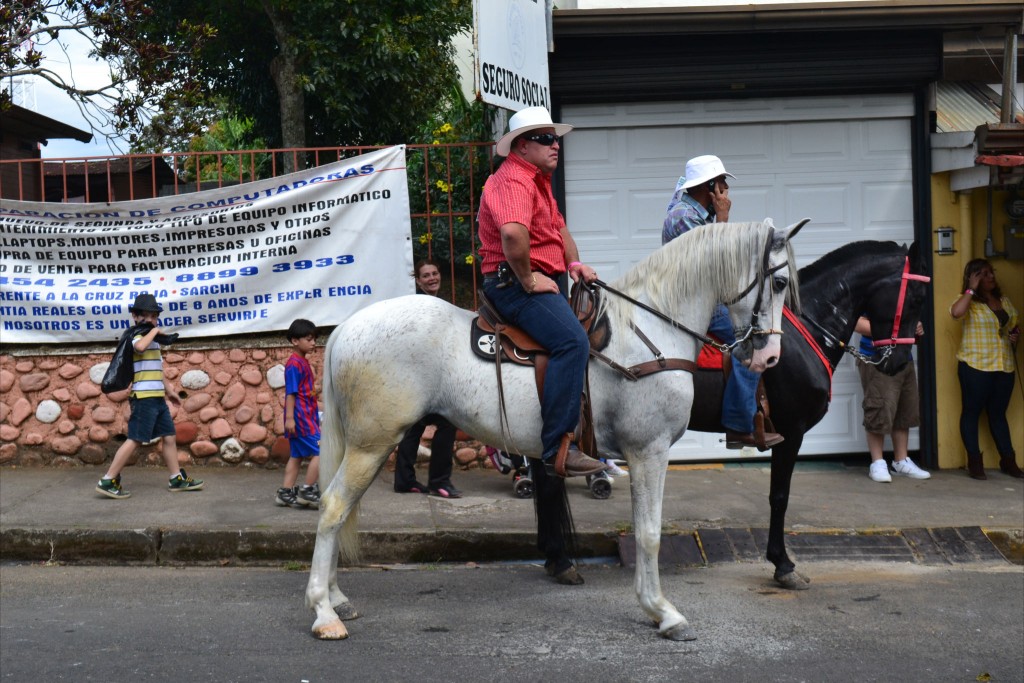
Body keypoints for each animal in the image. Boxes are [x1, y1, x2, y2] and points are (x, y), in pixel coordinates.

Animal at [303, 218, 806, 643]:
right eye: (780, 282)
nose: (769, 358)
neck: (649, 330)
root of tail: (346, 326)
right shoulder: (650, 450)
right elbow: (649, 533)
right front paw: (663, 612)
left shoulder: (640, 453)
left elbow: (643, 527)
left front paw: (653, 607)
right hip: (372, 445)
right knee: (333, 508)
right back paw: (323, 613)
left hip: (368, 445)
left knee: (344, 510)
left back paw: (338, 599)